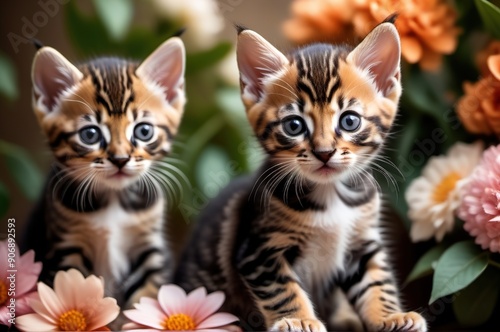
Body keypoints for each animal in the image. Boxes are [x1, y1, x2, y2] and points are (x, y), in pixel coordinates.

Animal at [22, 35, 185, 306]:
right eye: (90, 134)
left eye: (144, 131)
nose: (120, 159)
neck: (114, 200)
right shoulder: (66, 250)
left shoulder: (150, 251)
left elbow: (146, 301)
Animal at [174, 18, 428, 332]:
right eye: (294, 125)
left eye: (350, 121)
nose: (324, 152)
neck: (330, 194)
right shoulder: (259, 251)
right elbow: (284, 289)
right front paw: (299, 320)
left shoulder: (362, 244)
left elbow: (378, 283)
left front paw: (390, 316)